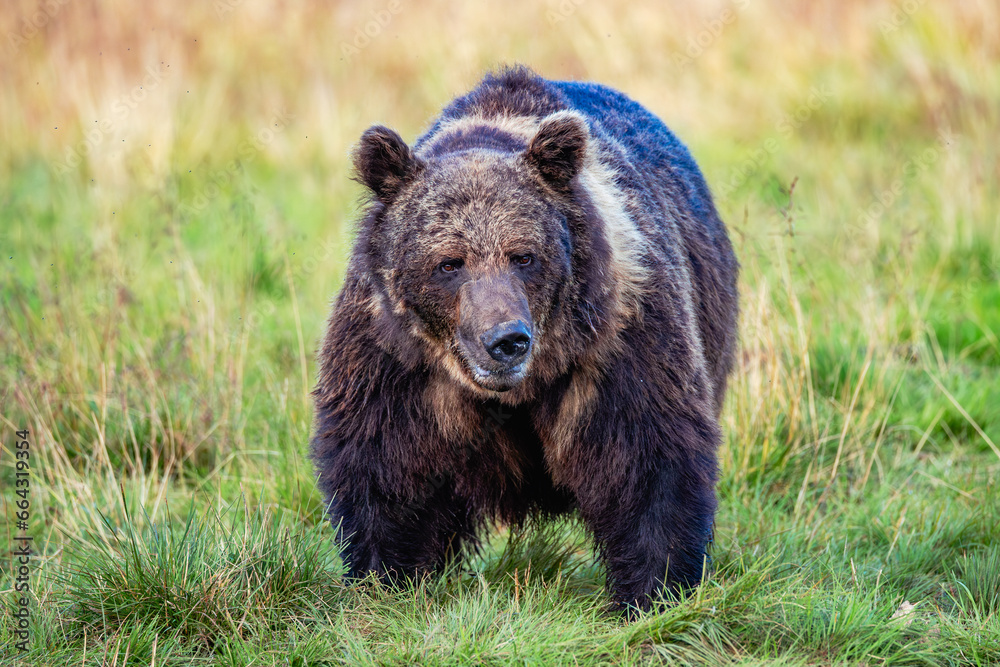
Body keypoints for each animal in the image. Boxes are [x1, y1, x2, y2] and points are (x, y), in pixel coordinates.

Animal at [310, 65, 739, 611]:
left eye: (523, 256)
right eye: (449, 263)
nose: (506, 339)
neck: (516, 391)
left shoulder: (620, 340)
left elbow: (649, 460)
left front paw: (654, 592)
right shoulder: (394, 358)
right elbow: (386, 466)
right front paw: (385, 578)